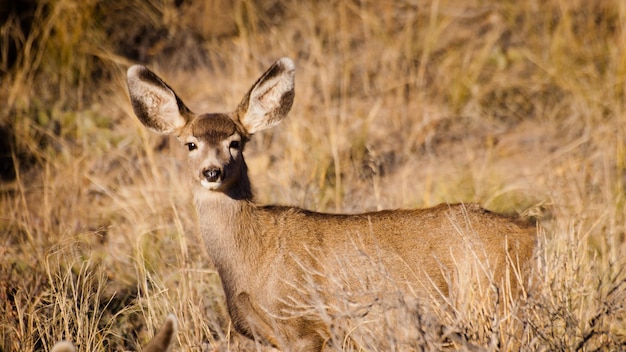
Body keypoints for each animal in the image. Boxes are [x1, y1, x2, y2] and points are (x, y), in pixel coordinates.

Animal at [124, 56, 532, 350]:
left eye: (235, 142)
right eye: (190, 144)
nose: (213, 171)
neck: (250, 256)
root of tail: (526, 232)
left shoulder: (307, 326)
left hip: (492, 303)